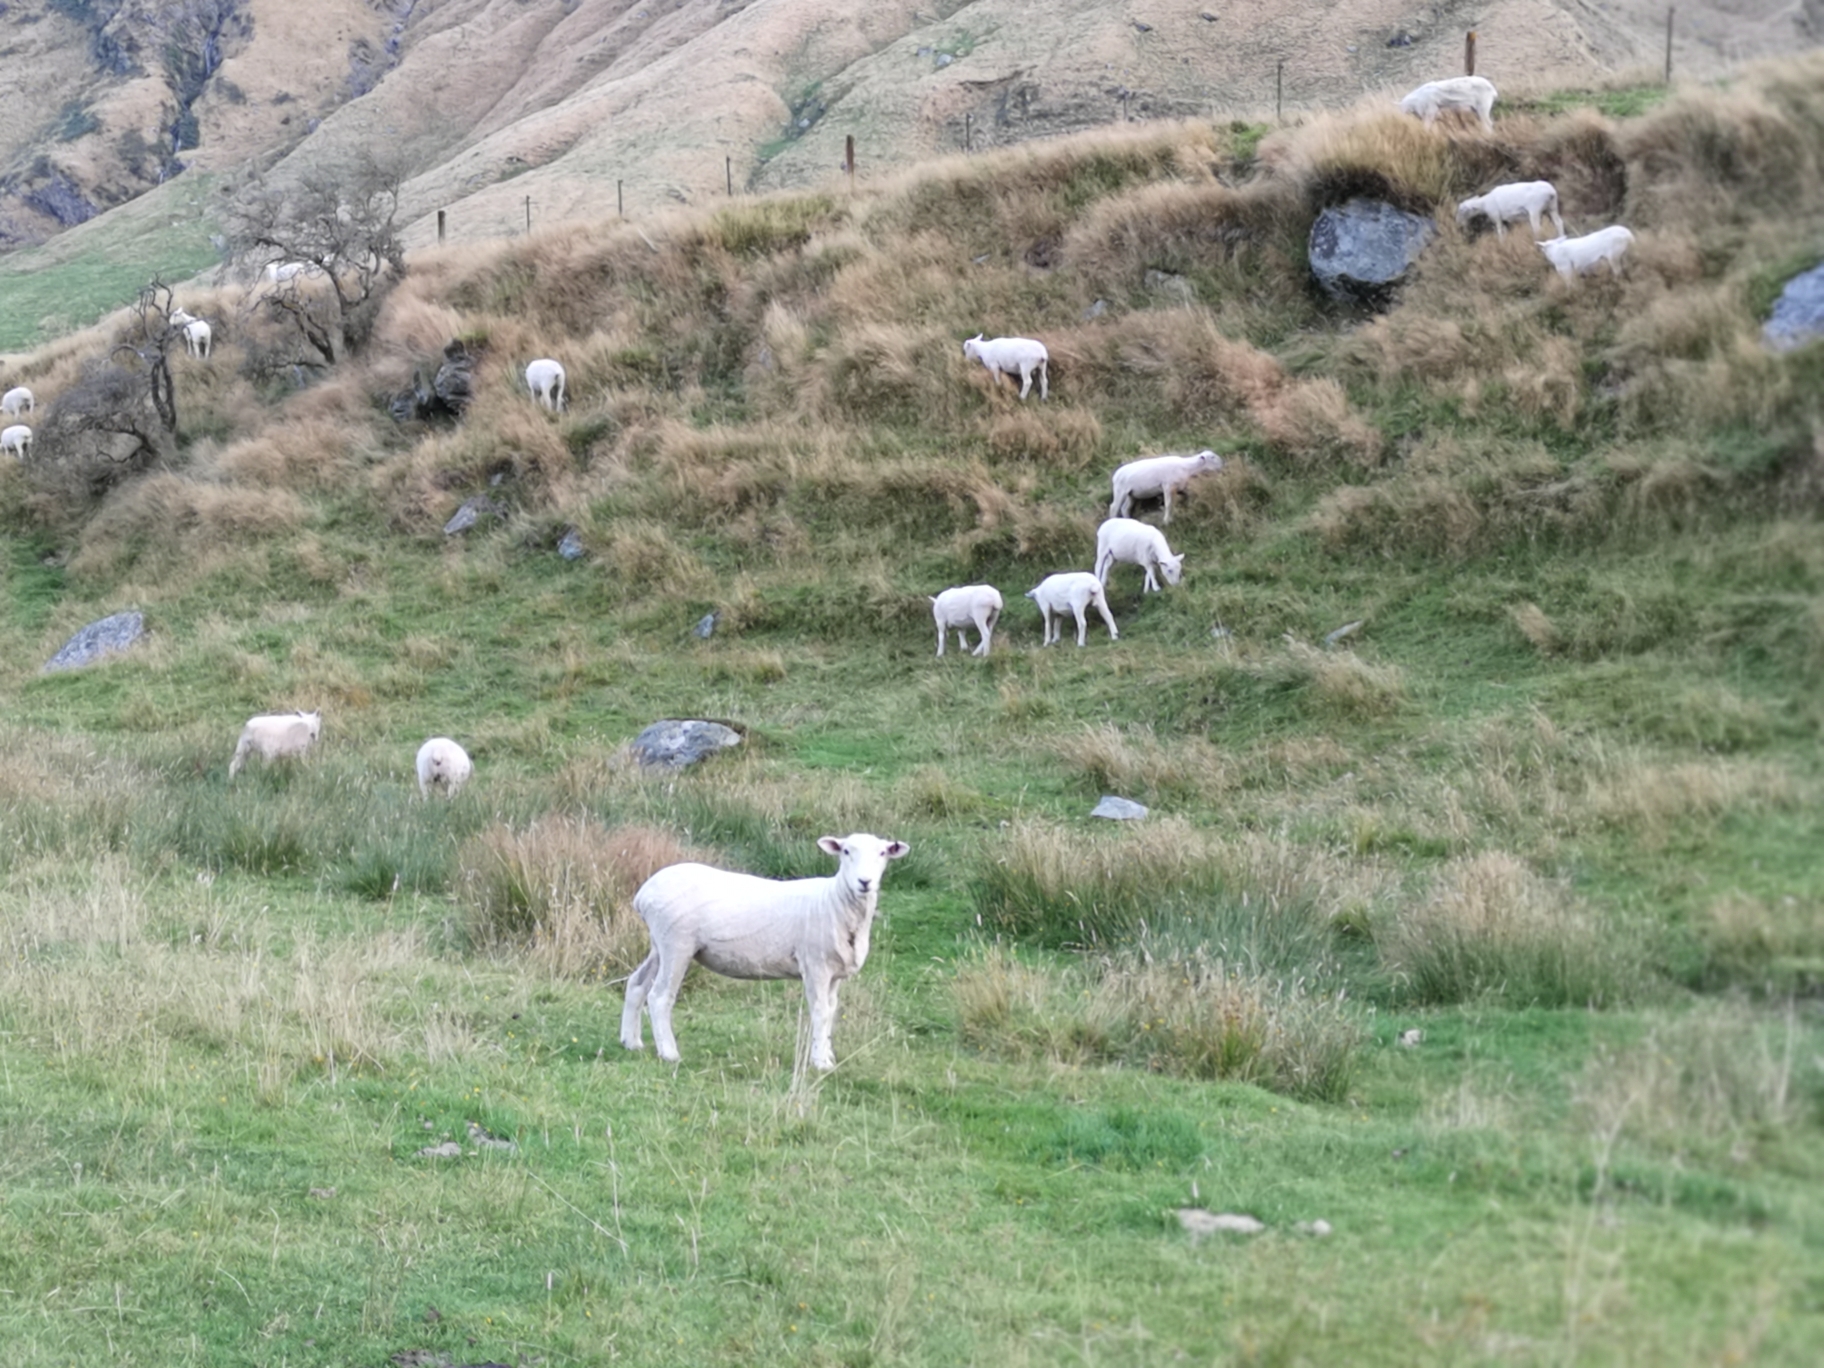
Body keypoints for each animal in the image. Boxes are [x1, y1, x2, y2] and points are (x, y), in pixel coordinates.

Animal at [627, 831, 912, 1079]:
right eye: (846, 851)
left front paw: (828, 1056)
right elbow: (820, 1012)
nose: (865, 882)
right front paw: (819, 1062)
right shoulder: (816, 966)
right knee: (660, 996)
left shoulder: (835, 974)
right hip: (676, 943)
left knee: (636, 983)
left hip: (659, 944)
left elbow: (831, 1011)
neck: (835, 902)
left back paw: (631, 1042)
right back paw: (669, 1053)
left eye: (883, 852)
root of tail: (644, 893)